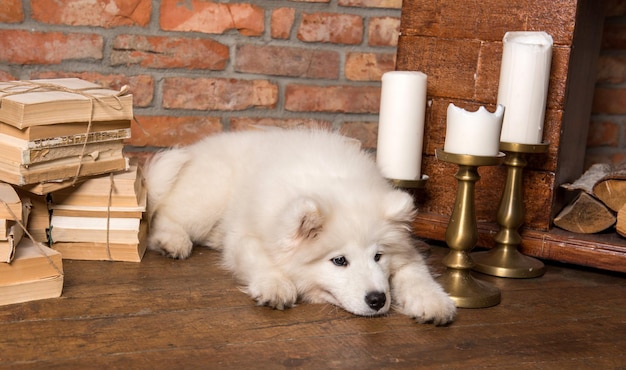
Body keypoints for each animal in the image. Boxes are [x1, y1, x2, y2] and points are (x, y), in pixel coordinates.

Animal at [147, 129, 458, 324]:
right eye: (339, 261)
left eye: (378, 256)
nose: (378, 300)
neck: (333, 183)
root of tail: (196, 149)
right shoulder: (244, 235)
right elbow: (259, 259)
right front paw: (275, 287)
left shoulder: (408, 251)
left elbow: (416, 272)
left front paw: (434, 302)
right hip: (208, 198)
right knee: (163, 215)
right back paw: (171, 241)